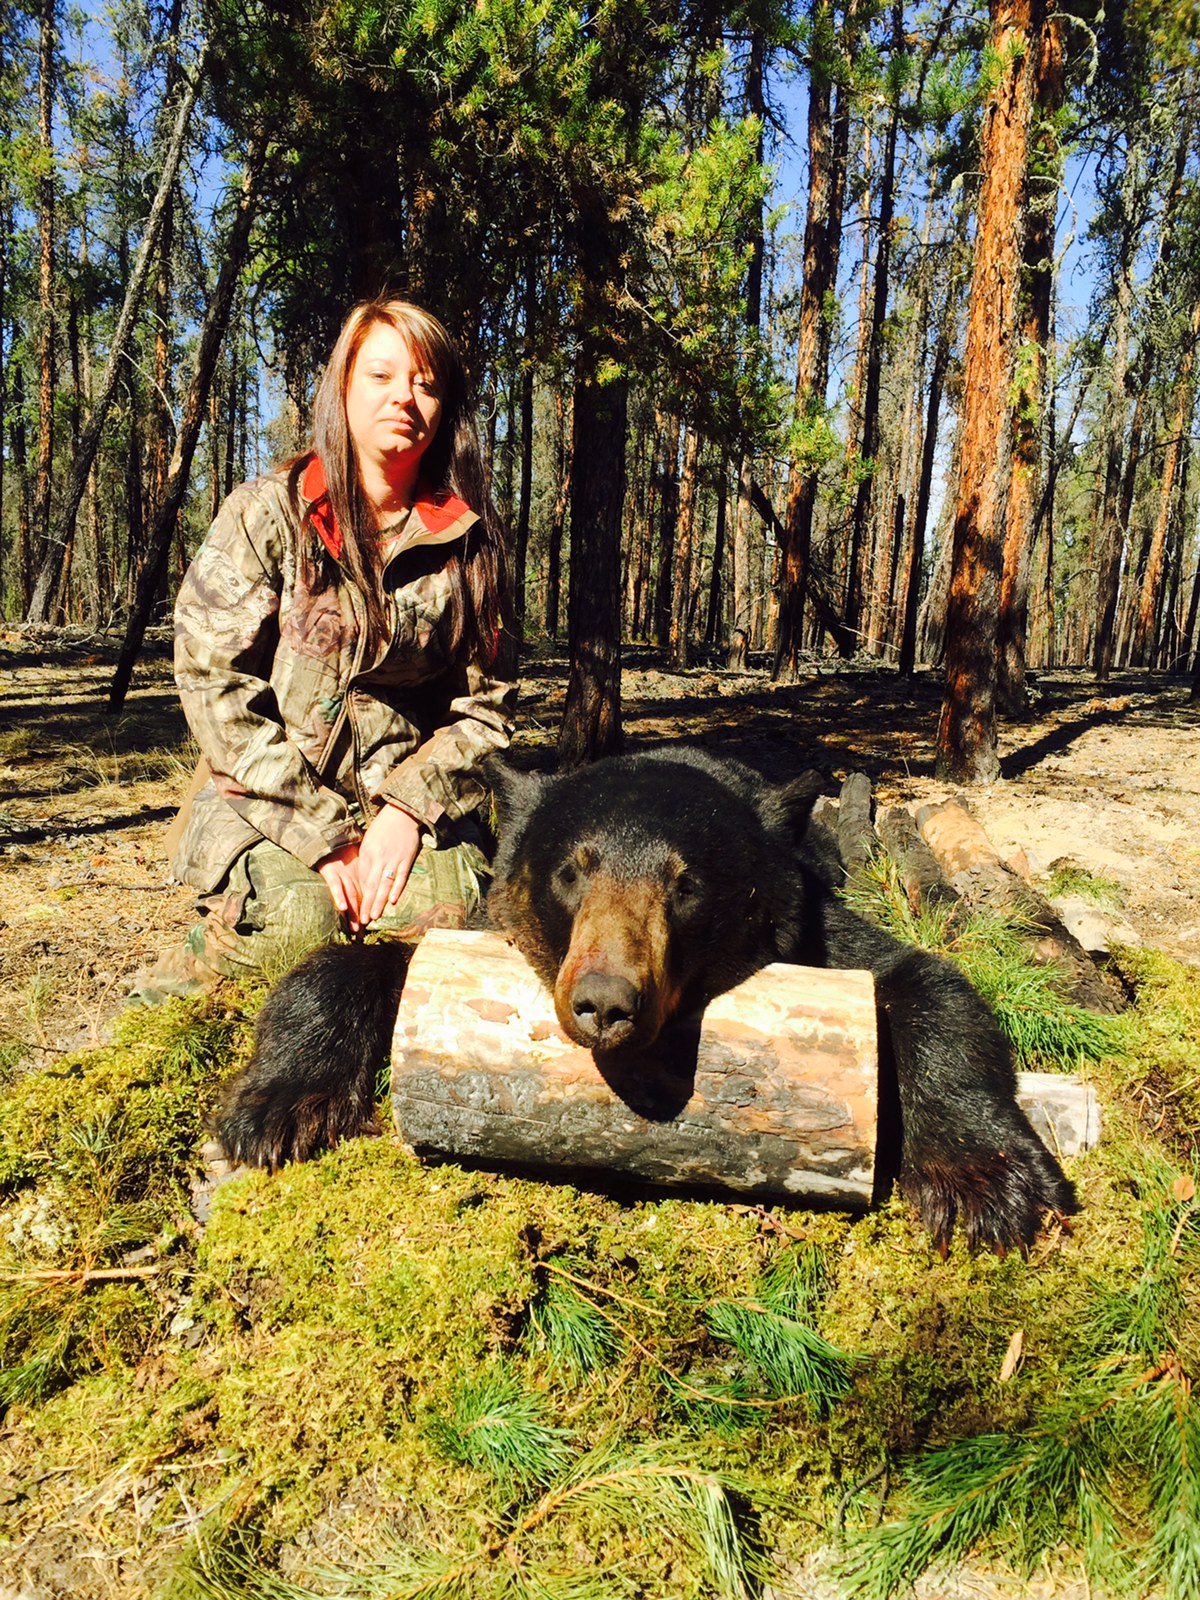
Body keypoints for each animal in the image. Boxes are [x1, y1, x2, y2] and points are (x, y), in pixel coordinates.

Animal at [212, 747, 1077, 1254]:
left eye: (687, 884)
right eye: (571, 870)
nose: (604, 1002)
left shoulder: (817, 929)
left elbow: (926, 983)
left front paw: (984, 1181)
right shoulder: (482, 933)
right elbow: (355, 964)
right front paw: (275, 1106)